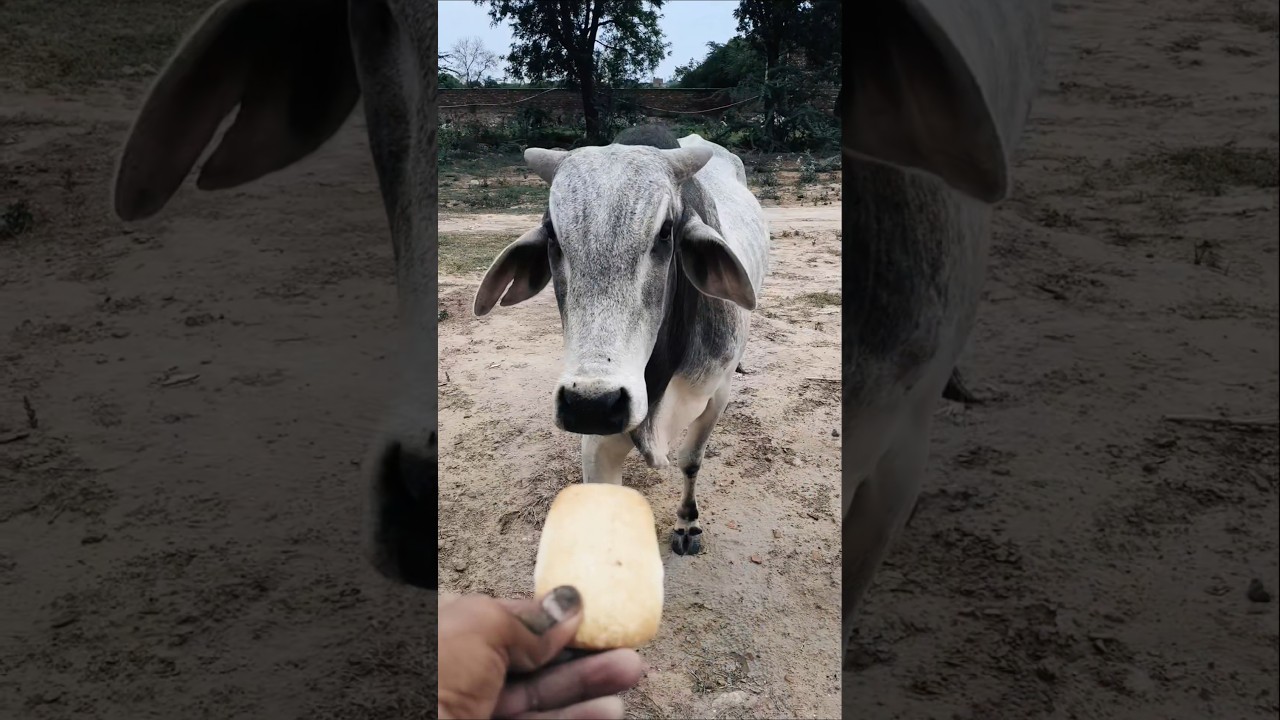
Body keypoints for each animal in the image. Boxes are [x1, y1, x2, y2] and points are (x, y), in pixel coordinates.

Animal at [473, 124, 769, 556]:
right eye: (553, 237)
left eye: (665, 232)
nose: (590, 405)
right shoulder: (599, 439)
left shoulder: (716, 394)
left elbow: (691, 460)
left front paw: (687, 523)